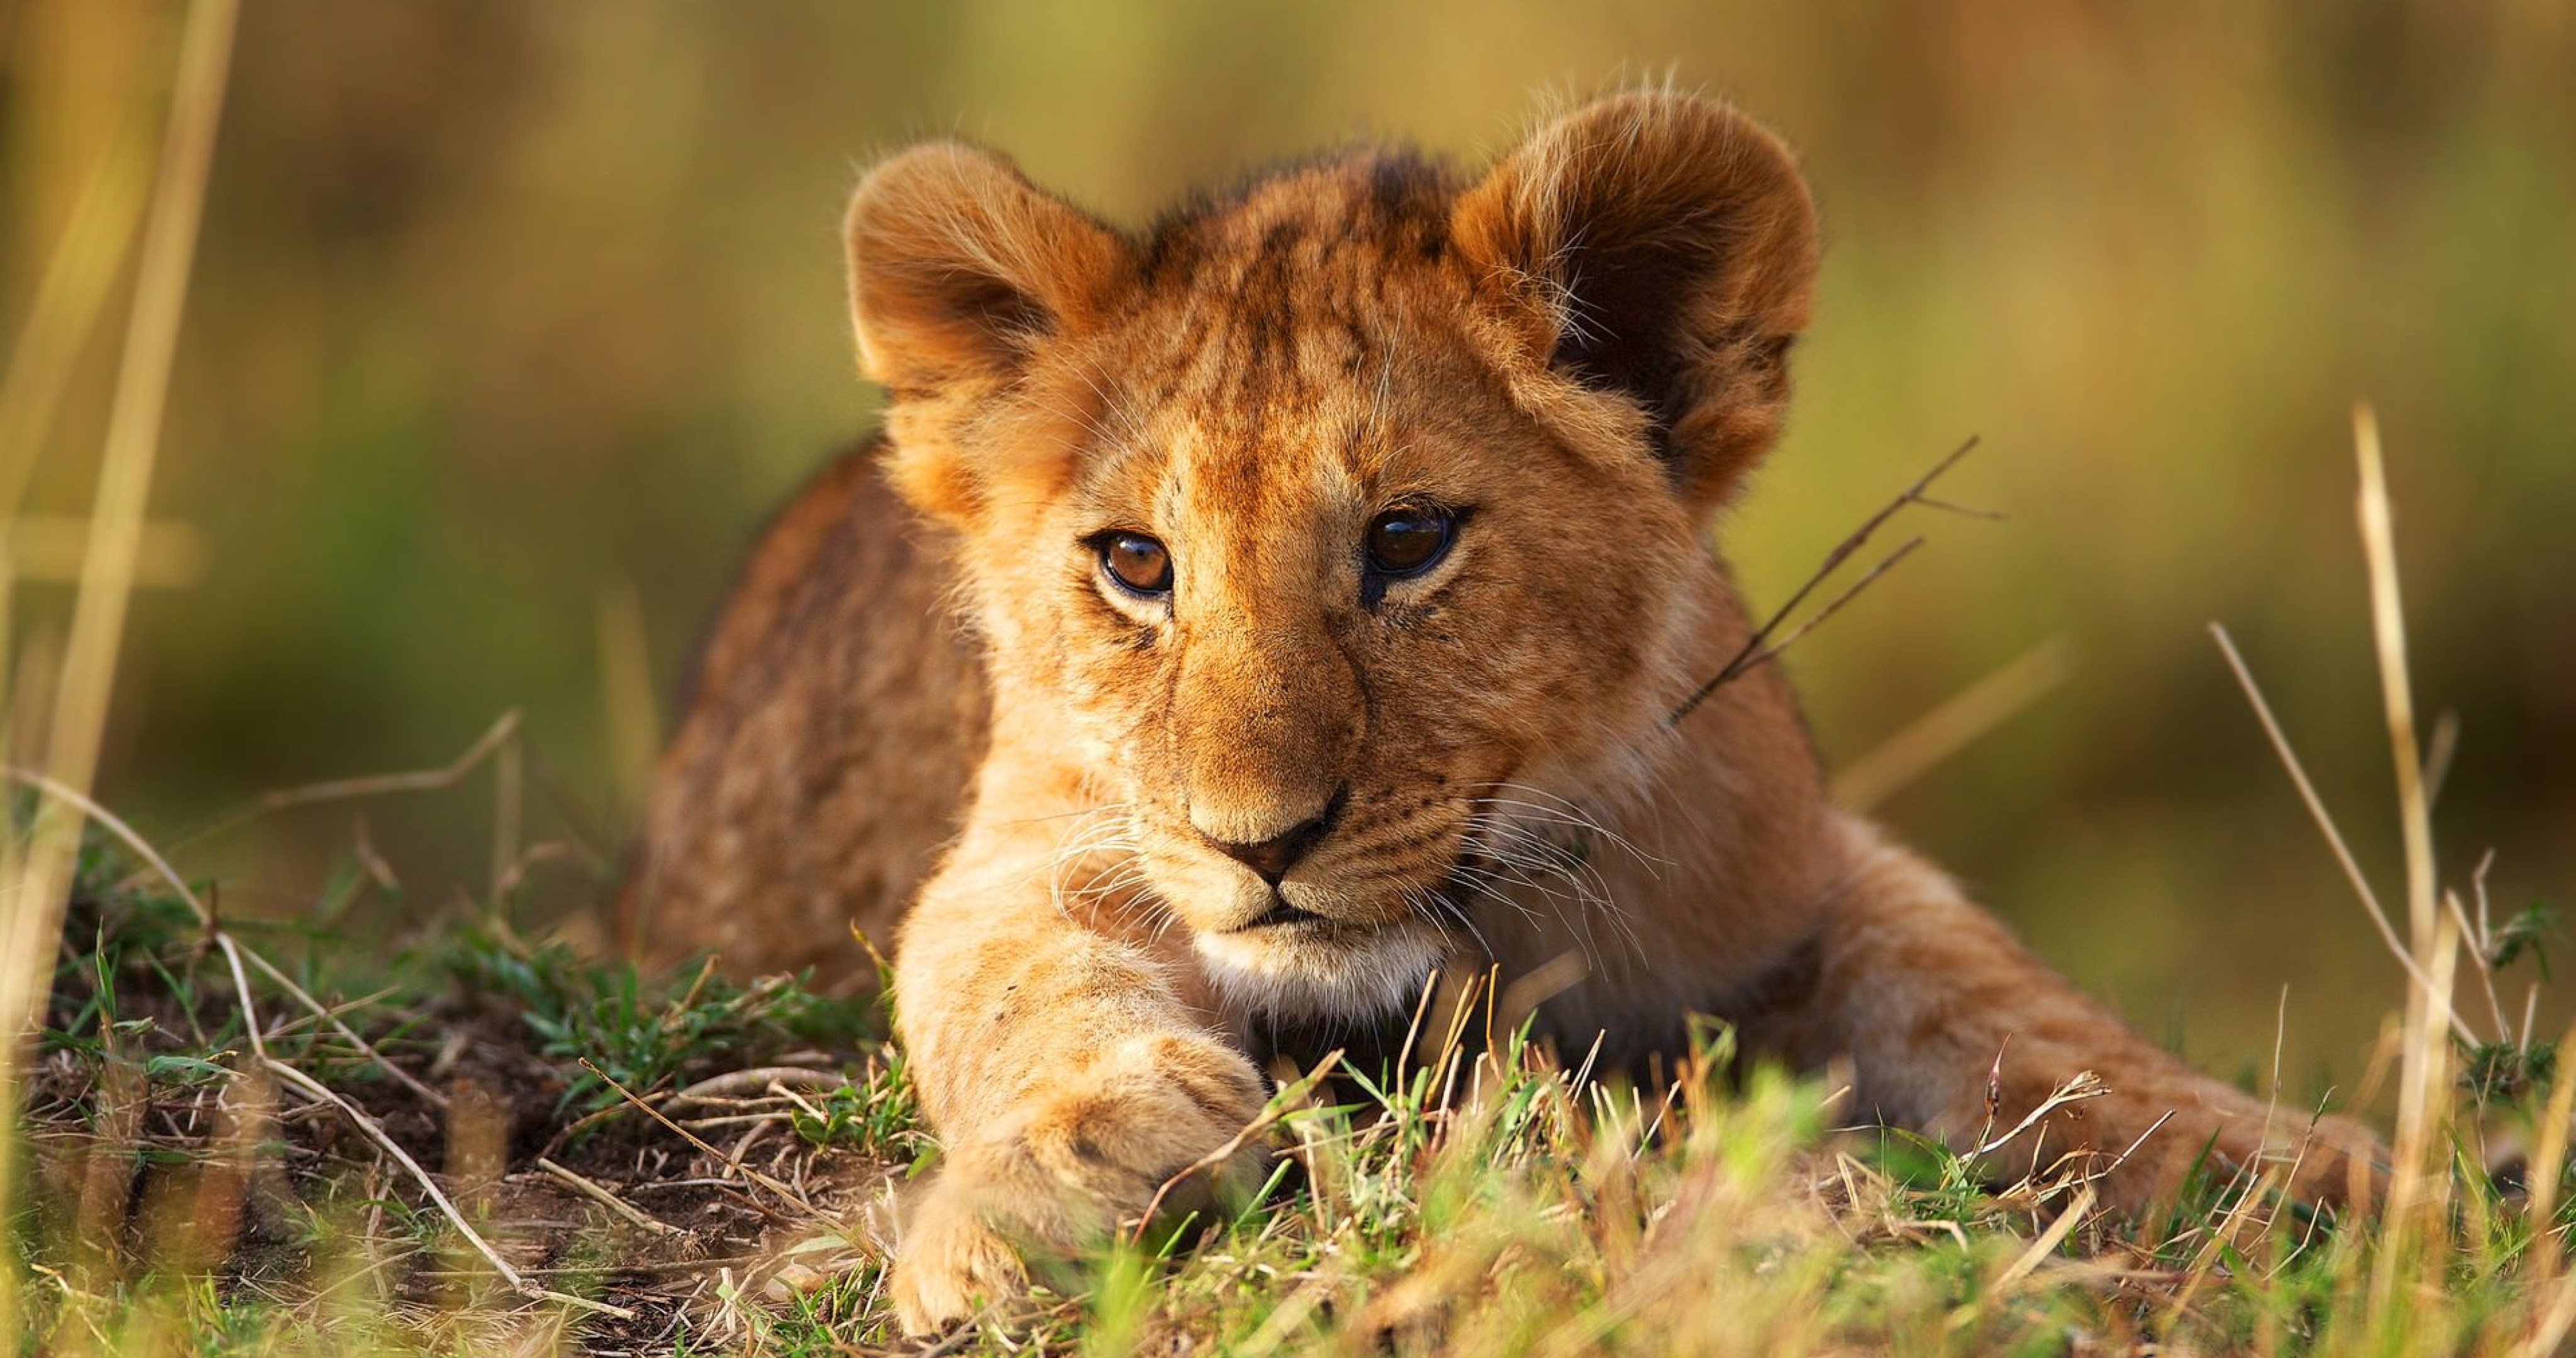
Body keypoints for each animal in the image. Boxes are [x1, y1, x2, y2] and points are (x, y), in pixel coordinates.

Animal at [619, 89, 2380, 1334]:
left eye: (1407, 540)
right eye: (1133, 564)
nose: (1260, 844)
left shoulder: (1795, 869)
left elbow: (2015, 1006)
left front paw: (2315, 1165)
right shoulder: (1028, 838)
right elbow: (1014, 979)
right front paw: (1044, 1184)